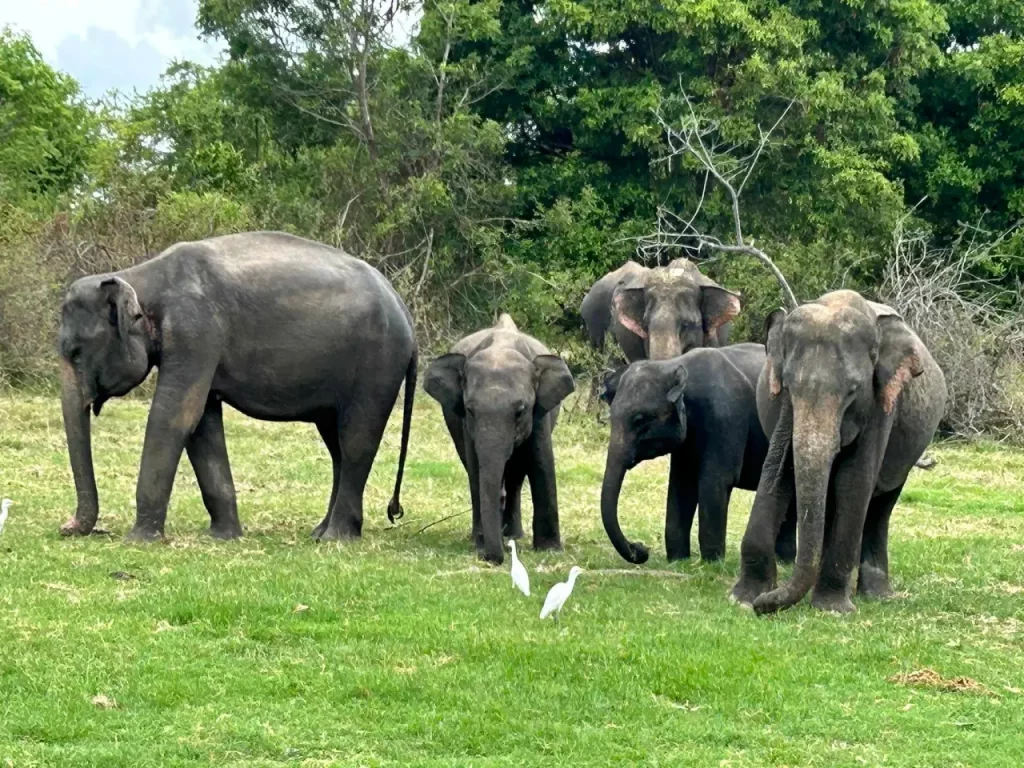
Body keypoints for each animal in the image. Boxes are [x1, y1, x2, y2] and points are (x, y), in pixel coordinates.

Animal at [55, 231, 415, 544]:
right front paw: (223, 537)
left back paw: (335, 539)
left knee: (356, 440)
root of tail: (404, 309)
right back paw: (321, 533)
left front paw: (139, 541)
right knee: (336, 443)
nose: (66, 527)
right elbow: (202, 425)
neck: (141, 275)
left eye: (76, 352)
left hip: (378, 364)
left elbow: (175, 415)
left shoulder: (195, 330)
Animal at [421, 313, 577, 565]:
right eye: (470, 410)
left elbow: (541, 462)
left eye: (520, 411)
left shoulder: (539, 413)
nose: (494, 558)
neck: (500, 348)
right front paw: (480, 545)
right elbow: (476, 467)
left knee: (516, 475)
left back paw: (512, 534)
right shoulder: (467, 425)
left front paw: (550, 550)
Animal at [598, 346, 798, 569]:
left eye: (639, 419)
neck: (673, 366)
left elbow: (715, 481)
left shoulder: (726, 418)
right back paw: (785, 562)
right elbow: (681, 484)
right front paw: (678, 561)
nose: (641, 548)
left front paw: (712, 565)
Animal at [729, 290, 942, 618]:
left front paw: (831, 610)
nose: (763, 606)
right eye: (788, 385)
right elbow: (779, 469)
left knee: (882, 505)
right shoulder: (786, 409)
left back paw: (879, 595)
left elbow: (853, 482)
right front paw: (743, 598)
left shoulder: (880, 405)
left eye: (854, 391)